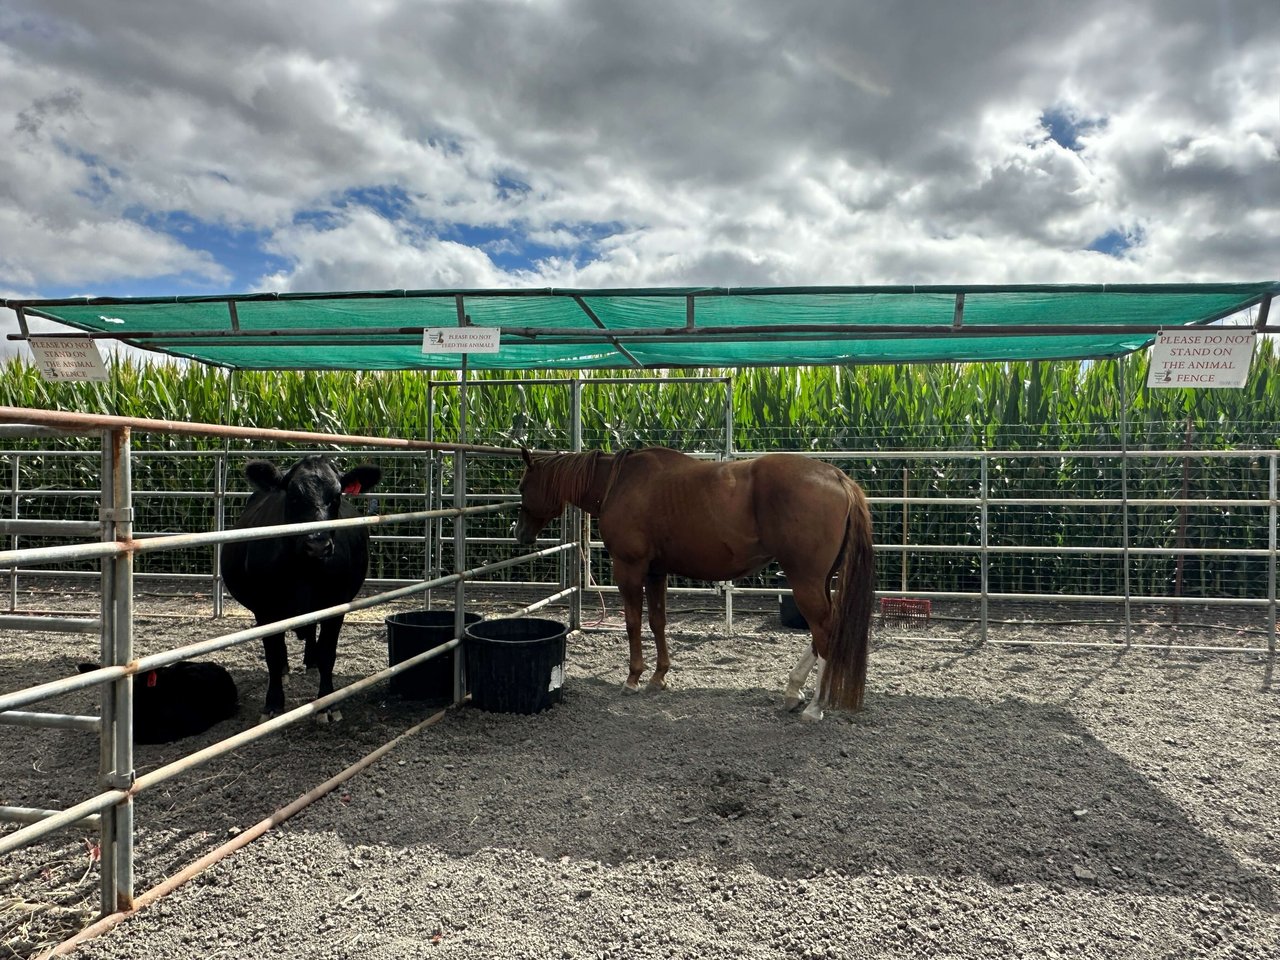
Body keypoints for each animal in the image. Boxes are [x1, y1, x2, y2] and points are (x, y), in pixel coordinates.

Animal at [218, 458, 378, 721]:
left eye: (337, 496)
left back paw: (310, 661)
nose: (318, 544)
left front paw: (327, 703)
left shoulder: (337, 603)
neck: (305, 568)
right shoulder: (265, 609)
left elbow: (328, 653)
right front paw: (273, 704)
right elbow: (273, 654)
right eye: (293, 496)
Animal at [514, 448, 875, 716]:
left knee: (824, 629)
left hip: (805, 580)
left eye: (522, 488)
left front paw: (633, 677)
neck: (618, 483)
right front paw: (659, 676)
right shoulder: (656, 572)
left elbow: (633, 622)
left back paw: (815, 704)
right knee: (825, 629)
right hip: (820, 580)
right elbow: (657, 621)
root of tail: (837, 477)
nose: (519, 534)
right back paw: (793, 691)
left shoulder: (629, 569)